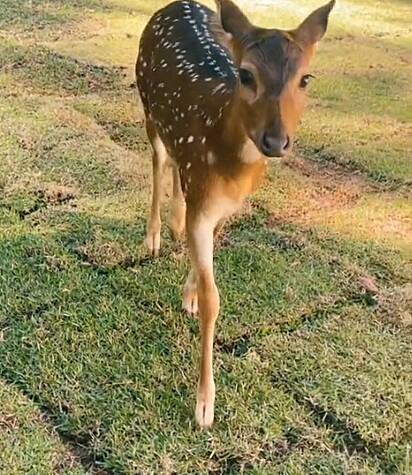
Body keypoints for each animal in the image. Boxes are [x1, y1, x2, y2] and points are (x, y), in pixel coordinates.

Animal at [135, 0, 334, 430]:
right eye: (245, 74)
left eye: (306, 78)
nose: (275, 141)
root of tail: (173, 5)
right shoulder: (203, 199)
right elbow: (215, 300)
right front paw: (204, 406)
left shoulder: (225, 207)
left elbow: (203, 260)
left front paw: (188, 293)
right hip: (146, 103)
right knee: (158, 159)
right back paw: (154, 236)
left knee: (173, 165)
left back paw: (174, 222)